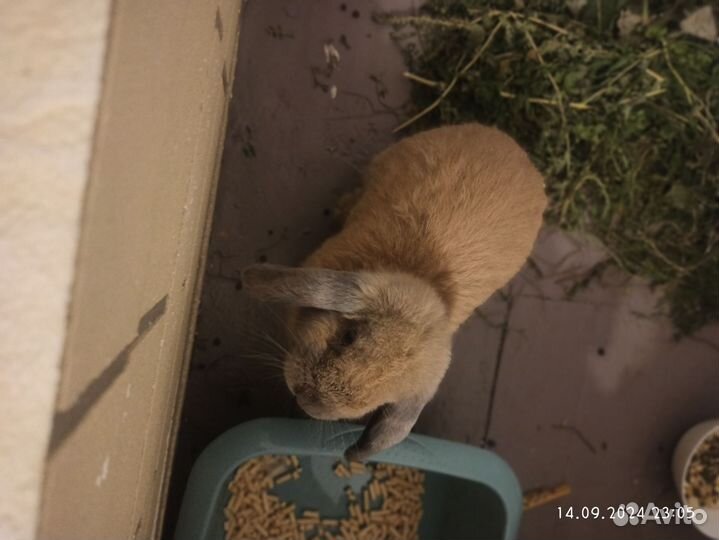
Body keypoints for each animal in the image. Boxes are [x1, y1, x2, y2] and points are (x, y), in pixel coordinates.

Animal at [242, 123, 547, 460]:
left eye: (381, 399)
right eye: (349, 336)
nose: (306, 398)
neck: (422, 275)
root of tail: (518, 152)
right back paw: (342, 207)